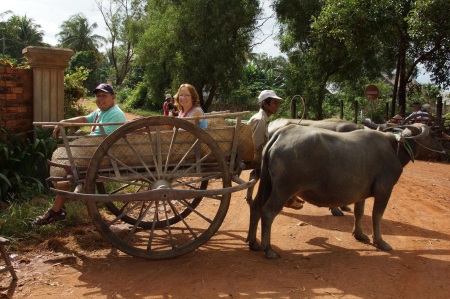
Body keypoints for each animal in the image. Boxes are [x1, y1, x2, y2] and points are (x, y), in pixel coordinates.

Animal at [250, 123, 428, 258]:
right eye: (433, 133)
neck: (394, 147)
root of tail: (281, 134)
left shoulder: (361, 193)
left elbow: (359, 212)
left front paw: (359, 235)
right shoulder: (385, 189)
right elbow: (377, 216)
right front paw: (380, 242)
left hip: (267, 183)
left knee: (256, 206)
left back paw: (253, 243)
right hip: (283, 189)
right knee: (268, 211)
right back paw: (268, 250)